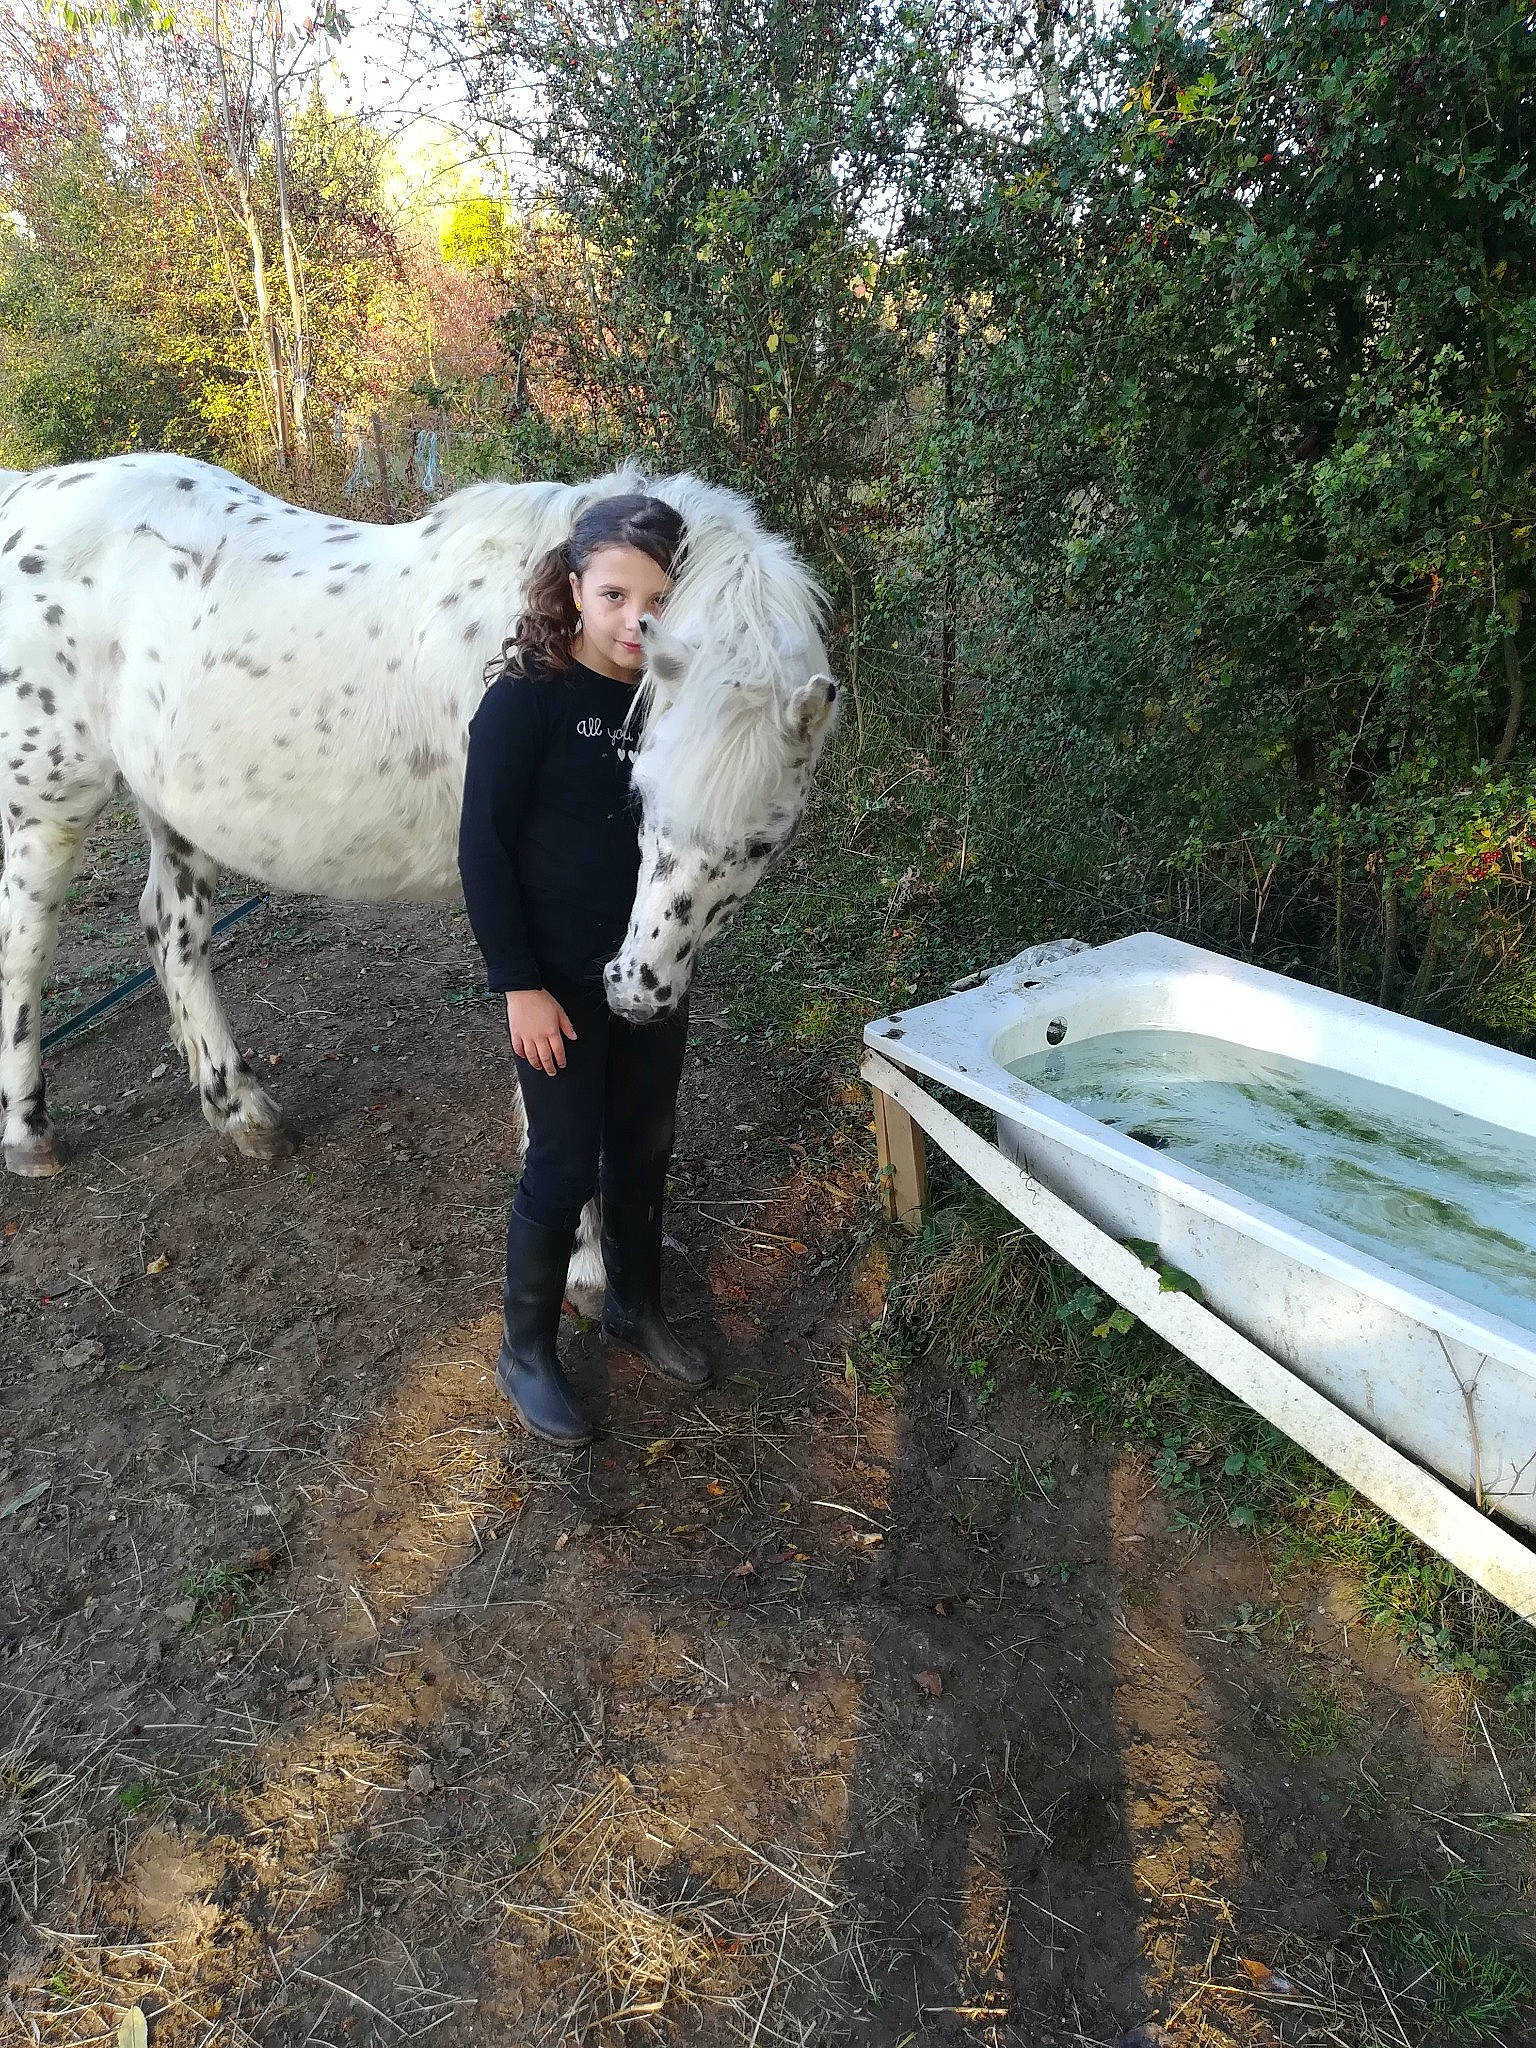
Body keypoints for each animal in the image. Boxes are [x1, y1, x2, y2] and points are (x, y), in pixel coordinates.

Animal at [0, 452, 837, 1294]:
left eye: (760, 846)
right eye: (644, 803)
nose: (639, 992)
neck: (548, 645)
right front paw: (584, 1259)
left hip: (172, 813)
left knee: (171, 934)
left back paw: (241, 1112)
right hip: (45, 809)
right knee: (24, 951)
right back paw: (28, 1132)